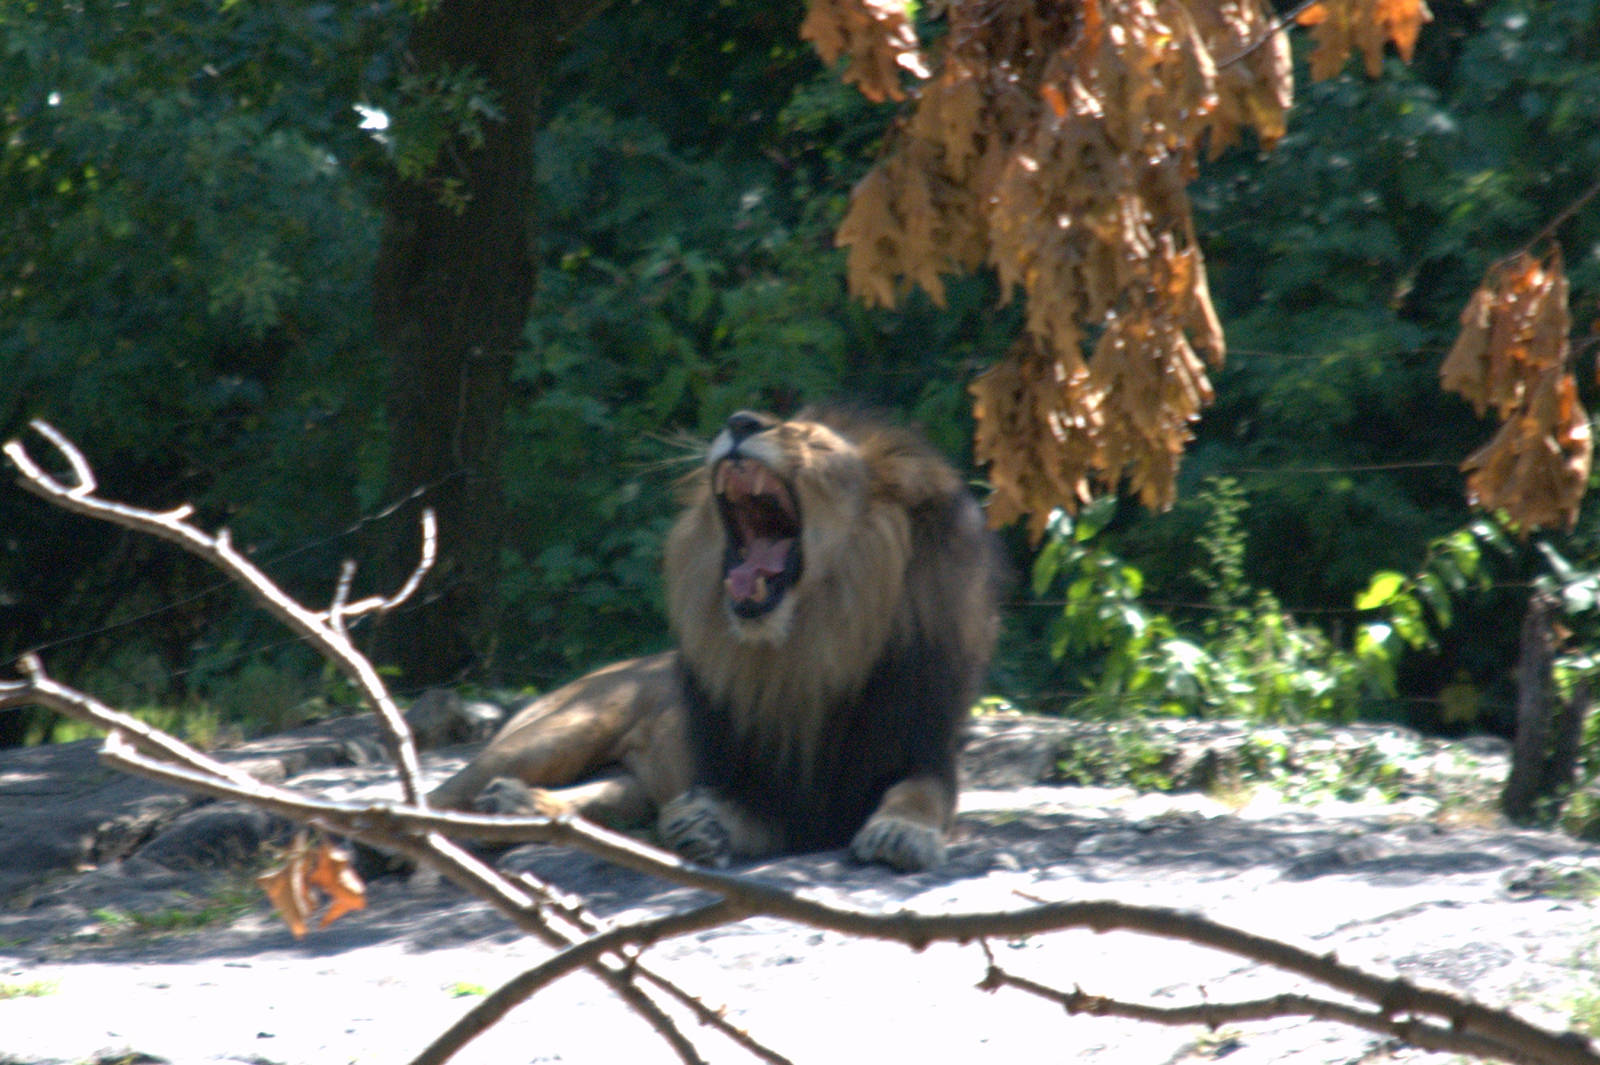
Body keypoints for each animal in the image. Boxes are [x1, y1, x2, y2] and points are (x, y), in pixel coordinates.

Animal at [429, 407, 1000, 871]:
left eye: (811, 439)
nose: (741, 421)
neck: (806, 650)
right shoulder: (754, 782)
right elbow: (743, 810)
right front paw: (702, 825)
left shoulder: (924, 746)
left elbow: (923, 793)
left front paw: (901, 832)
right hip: (560, 730)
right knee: (439, 795)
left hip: (628, 780)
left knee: (602, 797)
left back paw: (516, 809)